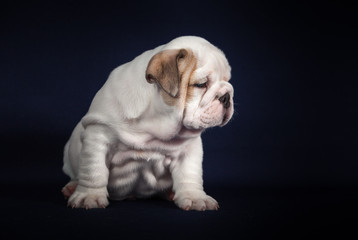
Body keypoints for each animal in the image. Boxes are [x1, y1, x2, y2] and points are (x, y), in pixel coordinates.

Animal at [61, 35, 234, 210]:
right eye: (201, 84)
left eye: (227, 80)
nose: (227, 96)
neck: (155, 120)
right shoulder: (98, 136)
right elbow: (94, 171)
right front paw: (89, 196)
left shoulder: (189, 149)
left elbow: (190, 175)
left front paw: (195, 198)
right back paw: (72, 187)